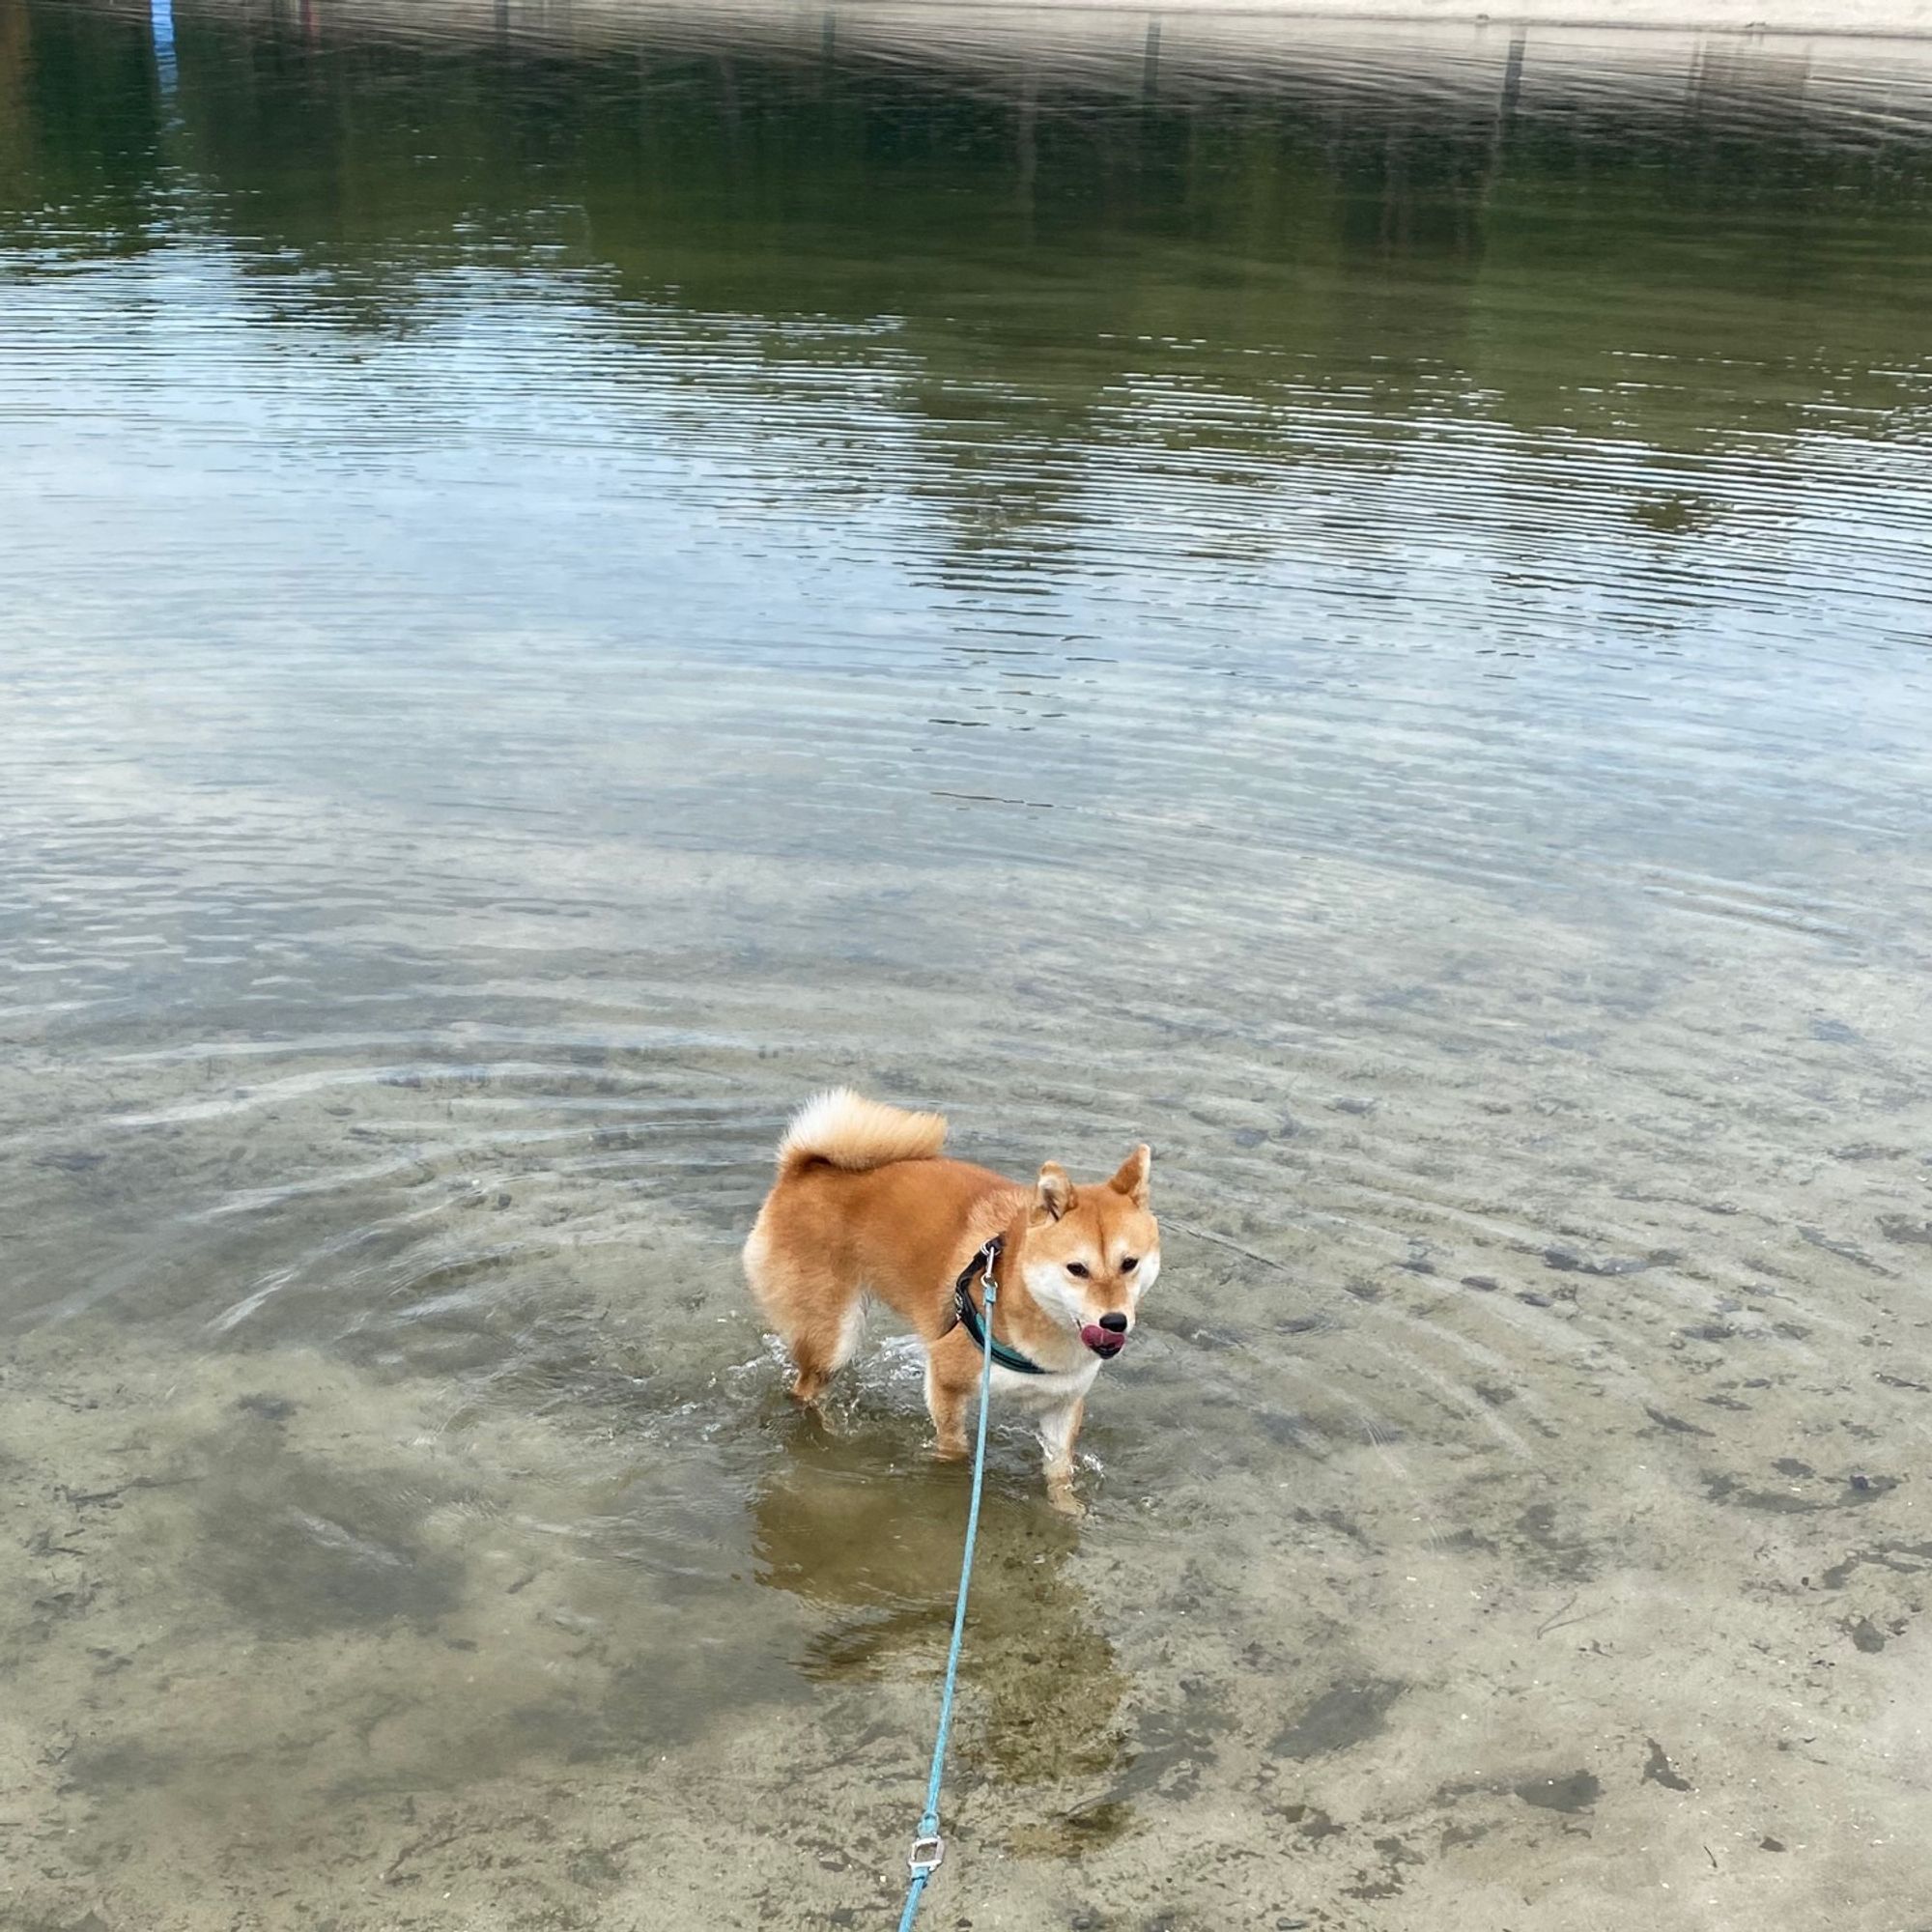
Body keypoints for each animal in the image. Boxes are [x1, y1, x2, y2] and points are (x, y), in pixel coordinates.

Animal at [746, 1090, 1151, 1507]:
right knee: (805, 1390)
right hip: (832, 1340)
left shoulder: (1062, 1406)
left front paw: (1068, 1510)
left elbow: (1059, 1475)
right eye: (1077, 1269)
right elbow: (955, 1449)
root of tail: (805, 1168)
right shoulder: (947, 1380)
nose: (1114, 1321)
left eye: (1129, 1263)